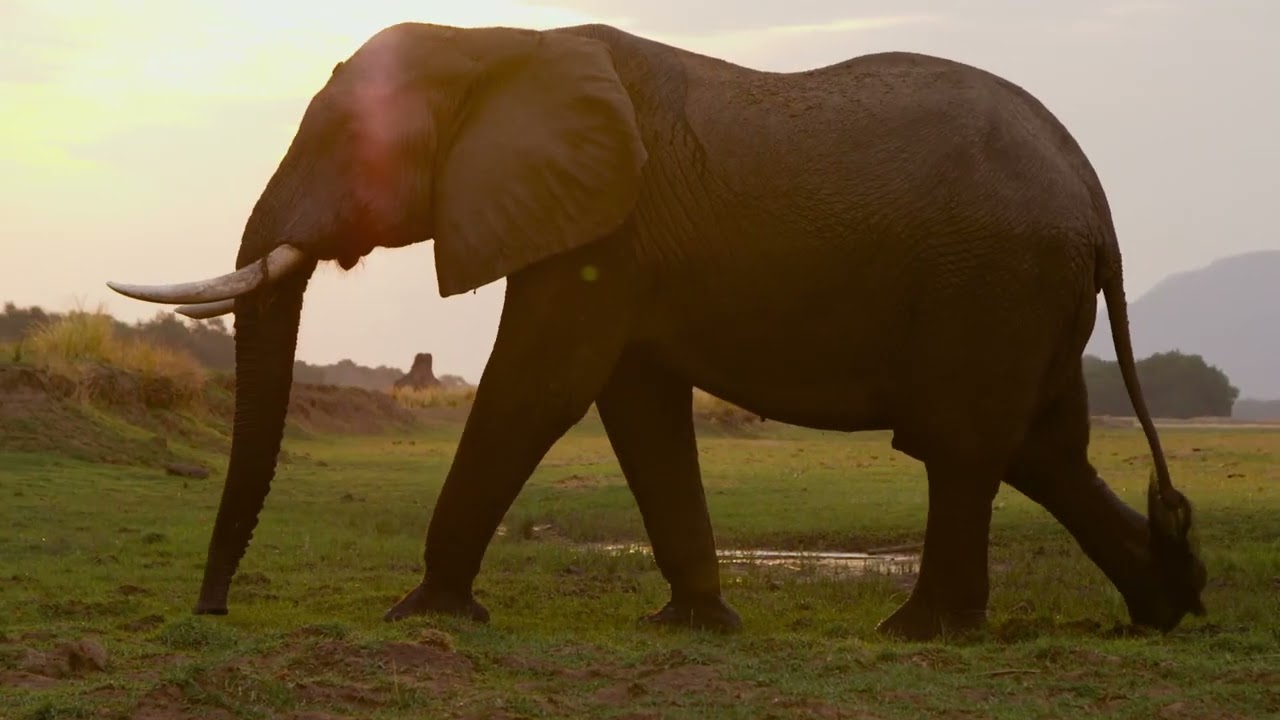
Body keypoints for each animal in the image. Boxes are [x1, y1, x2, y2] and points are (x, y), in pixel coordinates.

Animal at [107, 21, 1207, 640]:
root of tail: (1096, 199)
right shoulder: (615, 240)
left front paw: (424, 617)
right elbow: (634, 408)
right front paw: (695, 625)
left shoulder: (603, 230)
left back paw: (920, 634)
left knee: (965, 448)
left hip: (991, 282)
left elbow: (539, 387)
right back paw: (1169, 605)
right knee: (1043, 450)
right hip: (1025, 293)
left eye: (344, 140)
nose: (212, 612)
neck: (497, 41)